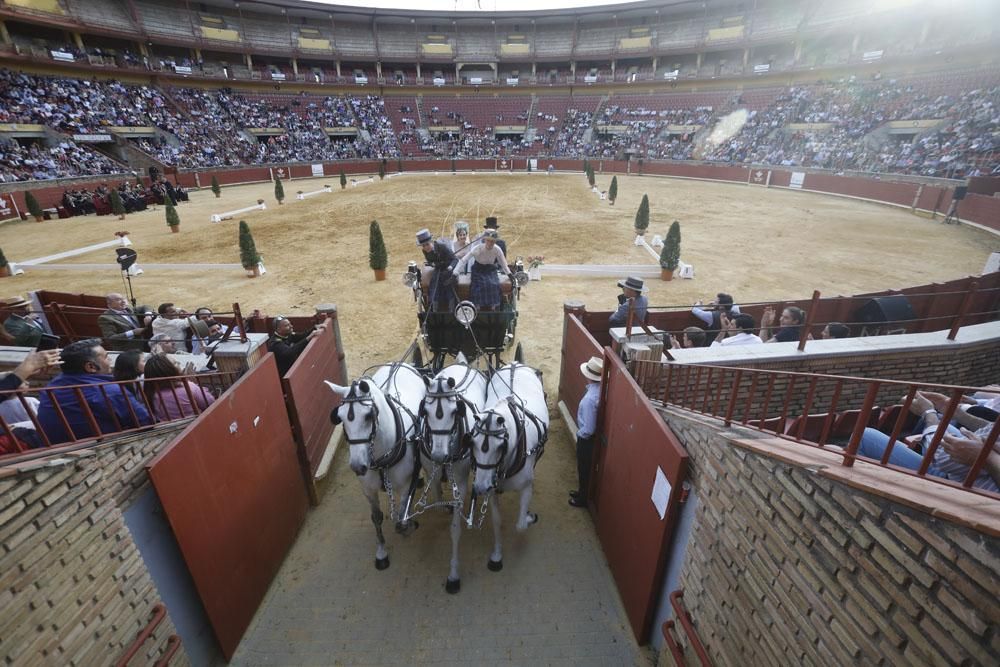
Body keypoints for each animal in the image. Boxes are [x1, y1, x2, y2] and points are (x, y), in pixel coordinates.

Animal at [324, 362, 426, 572]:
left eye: (368, 416)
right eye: (339, 417)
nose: (357, 466)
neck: (381, 459)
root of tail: (401, 364)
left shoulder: (404, 486)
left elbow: (401, 521)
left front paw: (409, 524)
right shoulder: (368, 489)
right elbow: (376, 517)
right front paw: (381, 552)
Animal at [418, 354, 488, 596]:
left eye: (454, 411)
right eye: (425, 412)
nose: (440, 455)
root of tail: (462, 363)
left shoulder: (461, 482)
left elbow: (455, 529)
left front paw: (454, 575)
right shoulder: (429, 465)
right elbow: (434, 487)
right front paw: (440, 503)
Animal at [466, 362, 548, 572]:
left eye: (500, 447)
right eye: (472, 442)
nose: (480, 488)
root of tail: (514, 364)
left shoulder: (526, 487)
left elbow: (520, 525)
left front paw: (529, 517)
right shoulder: (492, 491)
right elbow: (497, 522)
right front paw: (497, 555)